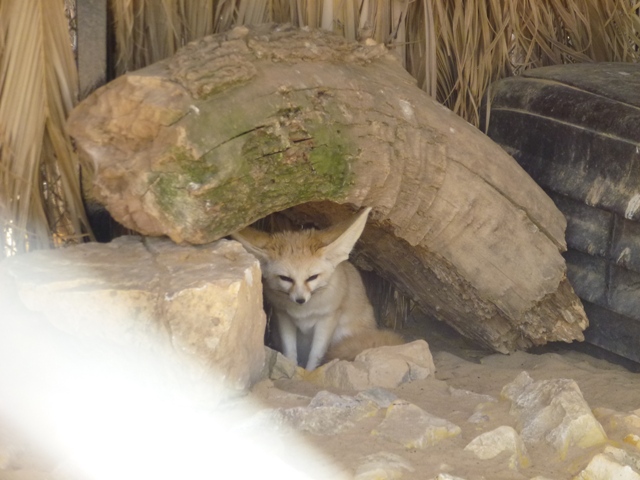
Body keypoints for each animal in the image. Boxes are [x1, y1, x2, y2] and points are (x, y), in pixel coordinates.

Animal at [232, 207, 404, 371]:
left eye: (312, 277)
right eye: (286, 278)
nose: (300, 299)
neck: (303, 312)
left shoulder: (327, 318)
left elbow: (316, 354)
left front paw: (309, 371)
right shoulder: (283, 315)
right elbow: (290, 351)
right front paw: (291, 367)